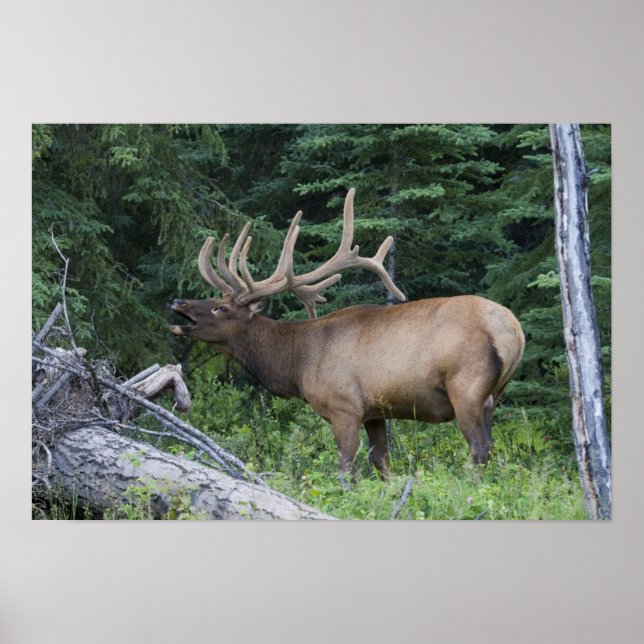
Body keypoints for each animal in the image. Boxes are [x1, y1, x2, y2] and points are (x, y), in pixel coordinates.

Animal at [170, 188, 525, 485]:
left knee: (479, 447)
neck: (298, 365)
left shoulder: (344, 407)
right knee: (491, 445)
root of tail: (514, 330)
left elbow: (346, 469)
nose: (177, 302)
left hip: (466, 385)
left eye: (220, 308)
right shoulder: (375, 412)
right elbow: (381, 463)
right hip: (494, 395)